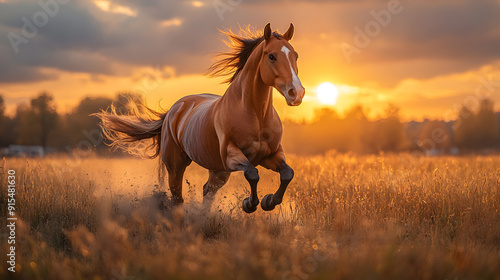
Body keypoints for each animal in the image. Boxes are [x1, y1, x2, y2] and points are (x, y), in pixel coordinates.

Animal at [95, 23, 302, 212]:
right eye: (271, 56)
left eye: (296, 56)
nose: (297, 93)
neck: (255, 115)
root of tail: (173, 110)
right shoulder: (232, 156)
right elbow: (253, 173)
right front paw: (249, 204)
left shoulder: (271, 154)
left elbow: (288, 174)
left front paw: (268, 201)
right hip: (177, 166)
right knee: (178, 198)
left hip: (218, 170)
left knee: (207, 191)